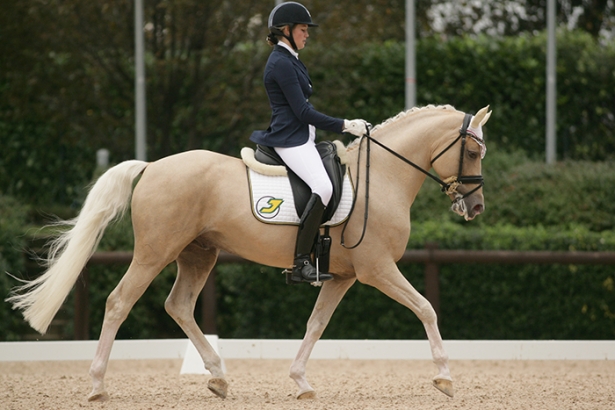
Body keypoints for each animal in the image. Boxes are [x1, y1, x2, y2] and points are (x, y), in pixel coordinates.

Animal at [7, 104, 490, 402]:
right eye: (471, 149)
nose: (476, 207)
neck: (383, 177)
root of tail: (151, 166)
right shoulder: (377, 269)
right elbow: (426, 308)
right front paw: (445, 378)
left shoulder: (345, 276)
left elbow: (316, 324)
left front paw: (301, 382)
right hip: (155, 252)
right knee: (119, 301)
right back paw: (97, 386)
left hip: (198, 254)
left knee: (178, 305)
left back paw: (219, 378)